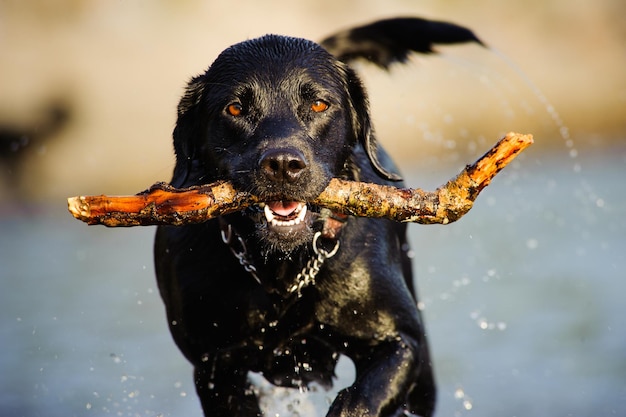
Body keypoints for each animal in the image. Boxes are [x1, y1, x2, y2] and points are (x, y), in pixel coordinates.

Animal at [154, 17, 480, 416]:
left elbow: (361, 398)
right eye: (235, 109)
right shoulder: (213, 366)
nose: (283, 164)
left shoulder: (401, 341)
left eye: (319, 104)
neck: (283, 272)